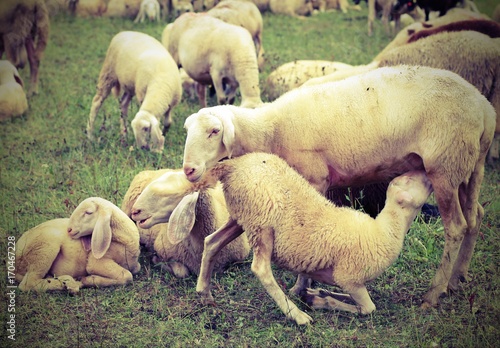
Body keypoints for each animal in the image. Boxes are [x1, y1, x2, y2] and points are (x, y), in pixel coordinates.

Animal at [189, 154, 432, 324]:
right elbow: (367, 309)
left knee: (211, 242)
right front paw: (318, 300)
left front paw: (316, 293)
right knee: (260, 269)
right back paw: (296, 315)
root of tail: (234, 165)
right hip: (262, 222)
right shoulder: (350, 278)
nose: (427, 172)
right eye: (410, 180)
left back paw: (204, 292)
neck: (385, 230)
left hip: (242, 216)